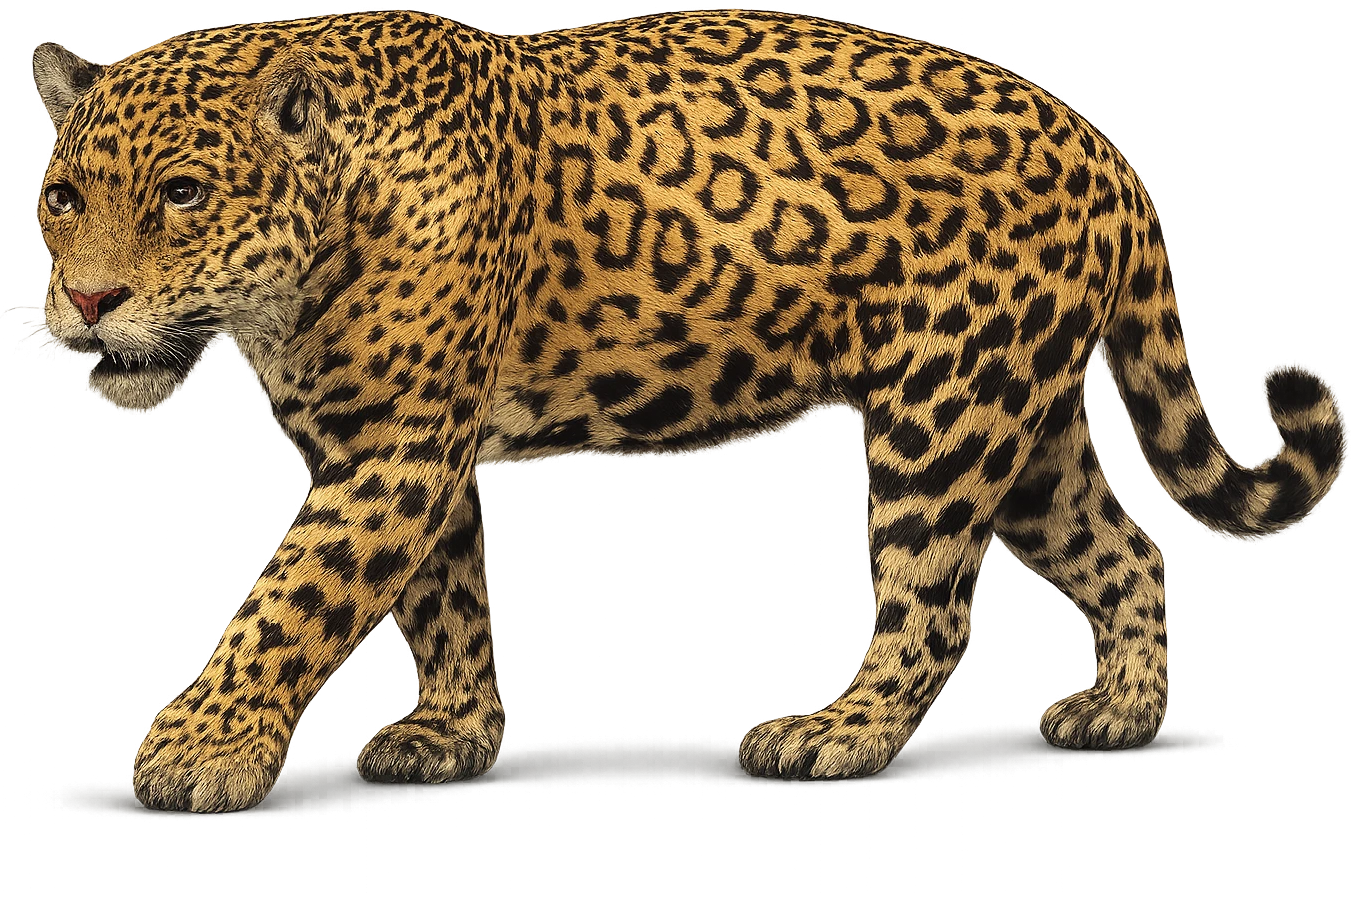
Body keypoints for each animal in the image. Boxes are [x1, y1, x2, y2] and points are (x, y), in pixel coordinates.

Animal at [30, 7, 1346, 813]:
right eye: (60, 197)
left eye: (183, 196)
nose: (88, 301)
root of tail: (1108, 151)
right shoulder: (393, 449)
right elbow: (440, 599)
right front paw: (449, 732)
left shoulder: (393, 451)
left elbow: (290, 598)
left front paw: (200, 746)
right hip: (1026, 429)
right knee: (1126, 546)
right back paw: (1119, 708)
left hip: (948, 408)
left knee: (932, 606)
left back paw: (835, 729)